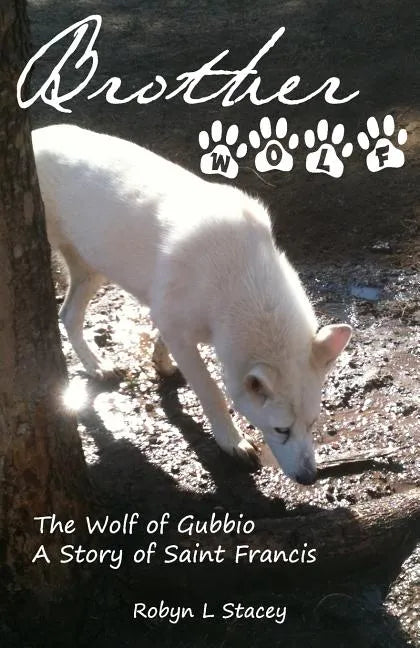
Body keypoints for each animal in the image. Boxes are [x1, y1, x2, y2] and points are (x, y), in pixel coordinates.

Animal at [32, 125, 351, 485]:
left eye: (312, 424)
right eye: (281, 430)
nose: (309, 477)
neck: (240, 278)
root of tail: (36, 133)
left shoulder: (171, 317)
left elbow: (162, 340)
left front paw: (161, 363)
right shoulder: (180, 331)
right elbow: (212, 391)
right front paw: (232, 442)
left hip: (92, 270)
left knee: (68, 315)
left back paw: (97, 366)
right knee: (67, 315)